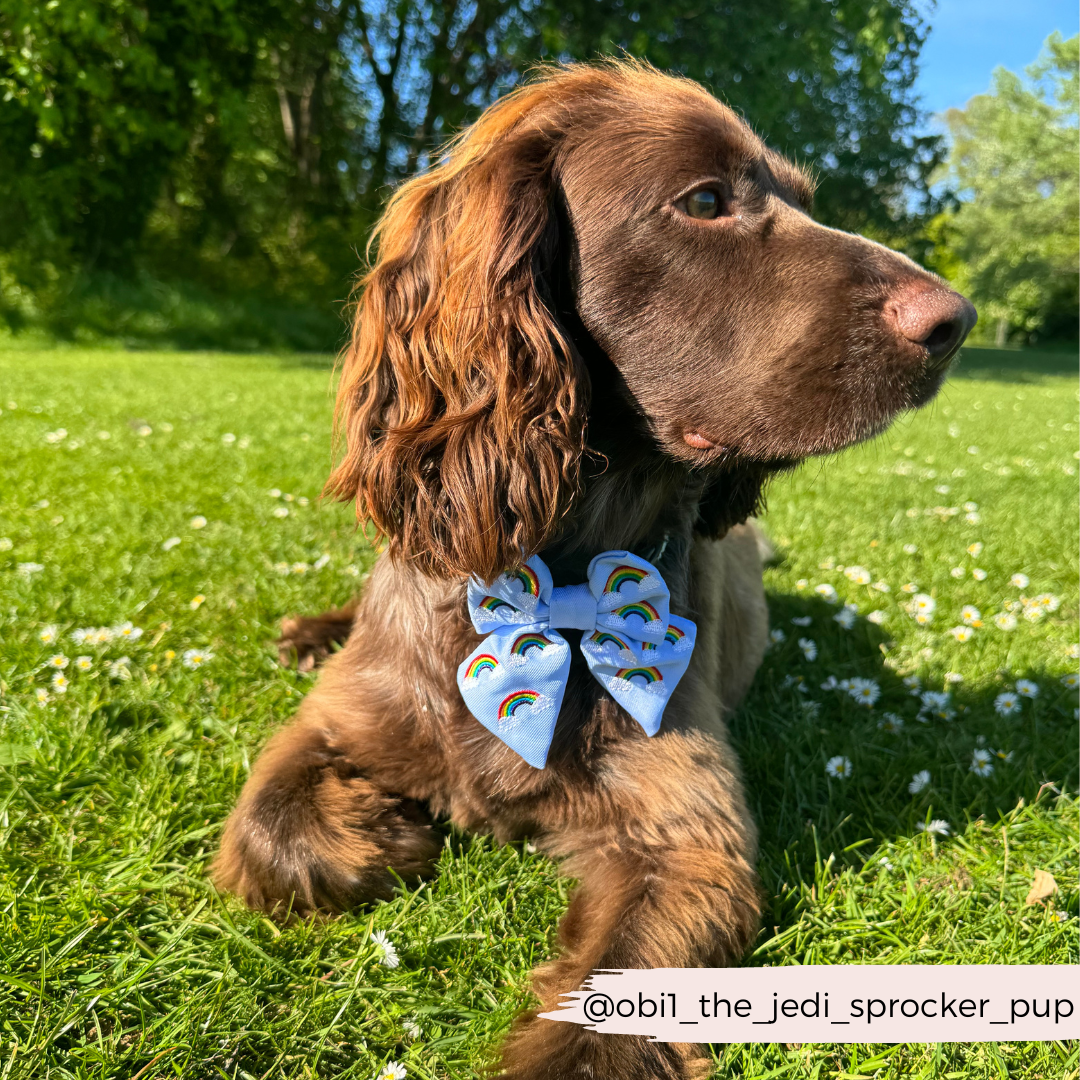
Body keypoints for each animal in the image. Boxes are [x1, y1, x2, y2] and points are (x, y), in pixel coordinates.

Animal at [214, 61, 976, 1080]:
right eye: (705, 201)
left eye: (804, 200)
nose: (955, 322)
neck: (555, 581)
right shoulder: (341, 716)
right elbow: (273, 834)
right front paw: (384, 828)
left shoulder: (685, 835)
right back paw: (310, 631)